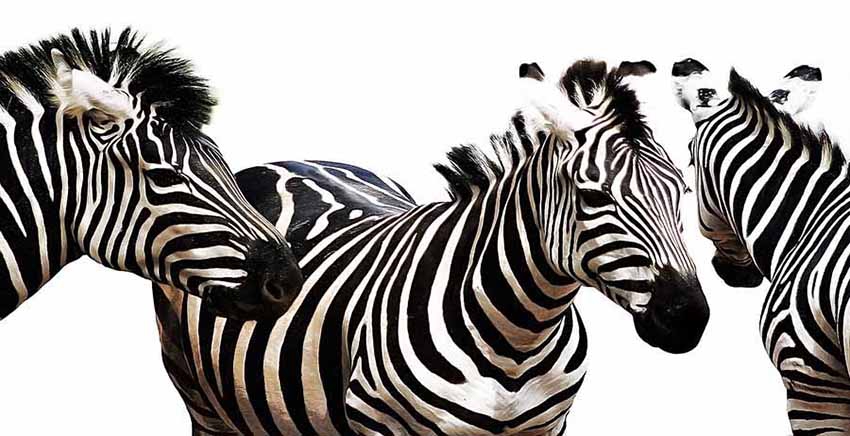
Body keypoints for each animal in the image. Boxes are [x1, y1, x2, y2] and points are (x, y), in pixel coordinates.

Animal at [153, 59, 709, 435]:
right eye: (594, 196)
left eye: (681, 191)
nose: (687, 318)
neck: (518, 338)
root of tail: (297, 158)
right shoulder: (380, 425)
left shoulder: (547, 427)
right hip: (196, 392)